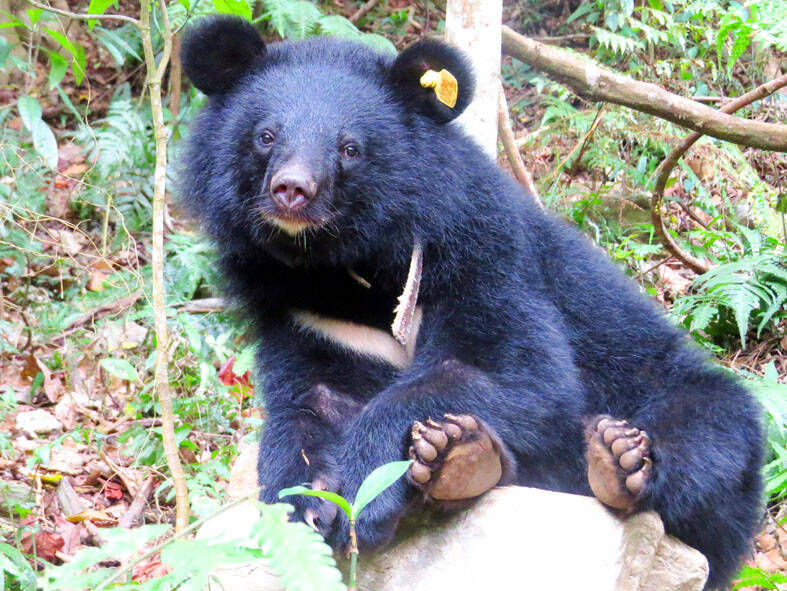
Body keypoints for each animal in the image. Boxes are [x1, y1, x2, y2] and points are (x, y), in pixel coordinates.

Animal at [179, 16, 763, 589]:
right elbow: (308, 403)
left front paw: (365, 494)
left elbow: (515, 373)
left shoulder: (480, 261)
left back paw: (608, 462)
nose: (292, 191)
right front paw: (305, 509)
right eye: (265, 136)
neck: (345, 265)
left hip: (686, 405)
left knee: (703, 435)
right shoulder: (306, 315)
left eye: (350, 148)